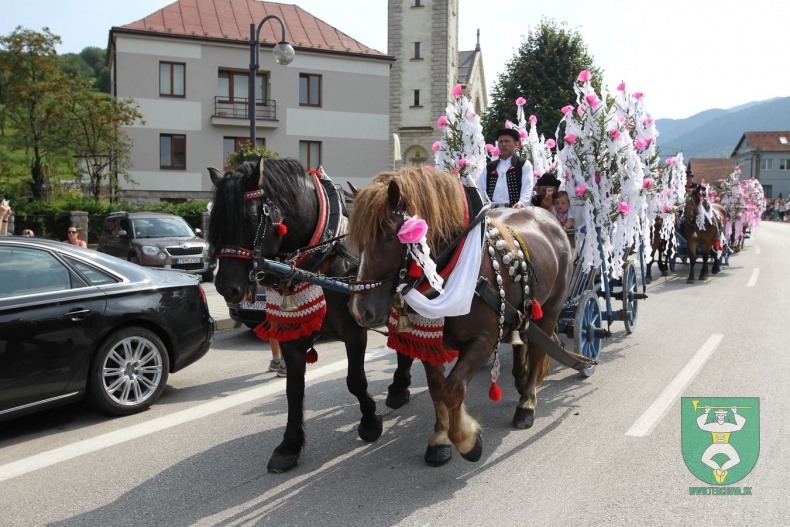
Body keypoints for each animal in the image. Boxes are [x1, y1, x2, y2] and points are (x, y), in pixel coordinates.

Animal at [204, 158, 414, 474]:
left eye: (248, 219)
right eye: (215, 222)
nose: (226, 286)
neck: (324, 254)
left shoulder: (355, 329)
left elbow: (355, 381)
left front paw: (369, 422)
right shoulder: (291, 337)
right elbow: (293, 390)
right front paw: (289, 446)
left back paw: (399, 387)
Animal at [350, 168, 572, 466]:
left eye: (388, 235)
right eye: (356, 240)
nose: (360, 311)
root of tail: (548, 218)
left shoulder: (484, 340)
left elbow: (453, 390)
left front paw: (467, 441)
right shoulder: (429, 343)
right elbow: (437, 390)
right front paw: (440, 439)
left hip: (550, 311)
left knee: (538, 351)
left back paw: (526, 404)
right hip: (523, 313)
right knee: (523, 341)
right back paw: (521, 378)